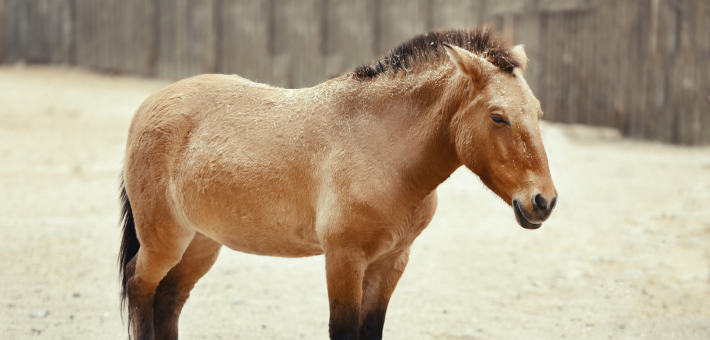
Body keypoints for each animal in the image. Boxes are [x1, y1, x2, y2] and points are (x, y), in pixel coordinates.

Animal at [119, 27, 560, 340]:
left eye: (538, 112)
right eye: (498, 116)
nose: (544, 201)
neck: (381, 149)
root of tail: (148, 106)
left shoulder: (392, 260)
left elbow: (371, 329)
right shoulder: (344, 258)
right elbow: (344, 330)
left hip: (201, 243)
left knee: (169, 299)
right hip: (165, 240)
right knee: (140, 286)